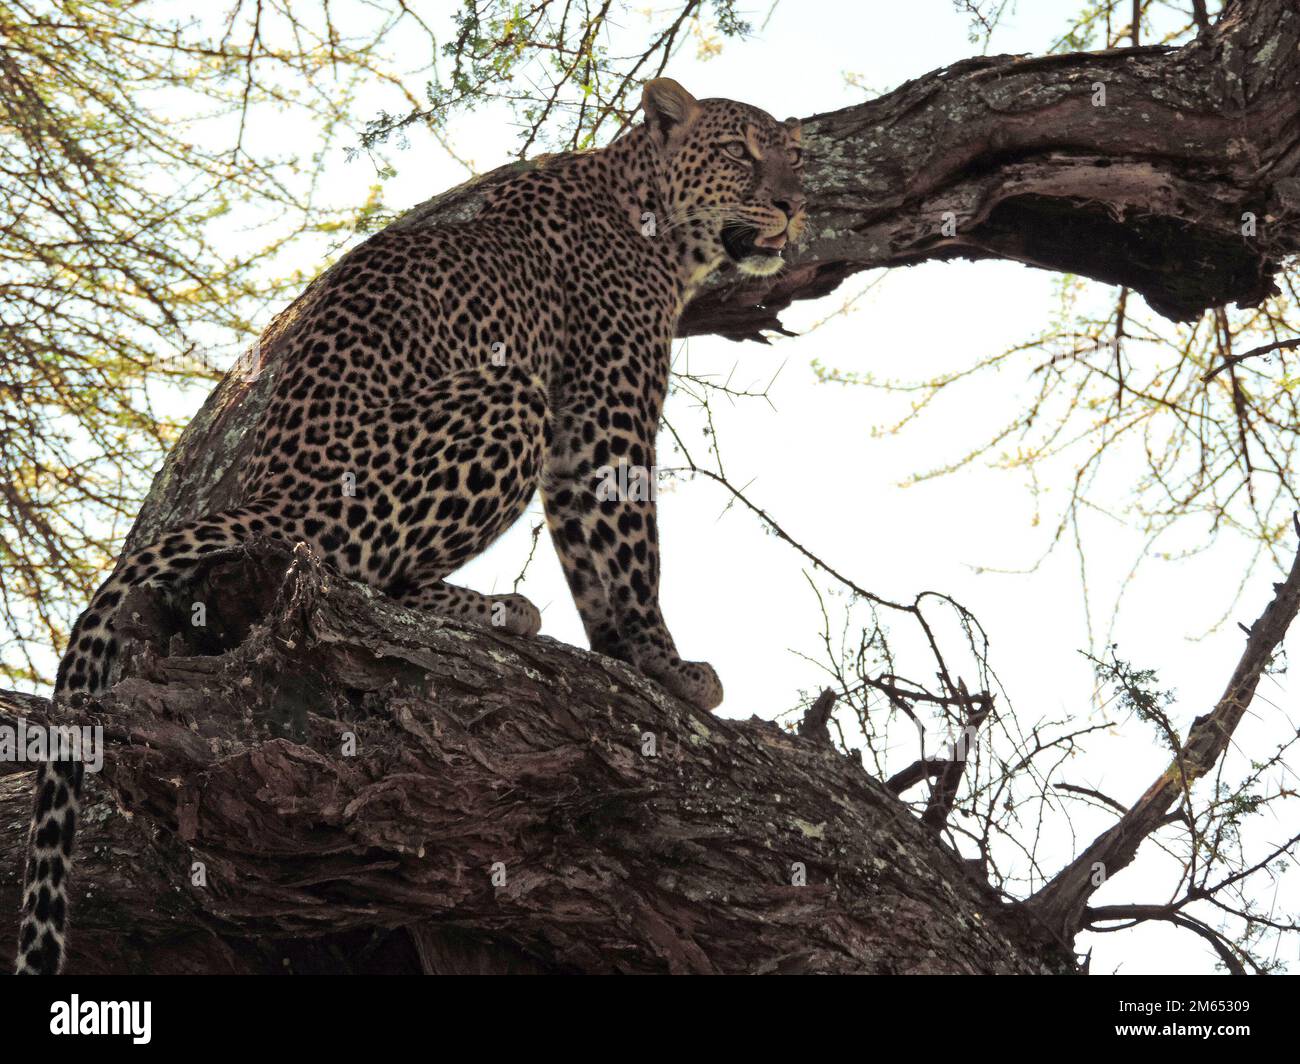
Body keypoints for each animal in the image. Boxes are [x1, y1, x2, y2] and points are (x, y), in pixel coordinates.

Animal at [13, 77, 806, 974]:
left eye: (796, 154)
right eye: (740, 152)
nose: (793, 203)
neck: (657, 223)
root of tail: (264, 495)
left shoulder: (583, 434)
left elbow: (593, 557)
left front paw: (624, 659)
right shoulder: (604, 415)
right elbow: (629, 548)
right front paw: (668, 667)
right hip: (501, 401)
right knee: (354, 574)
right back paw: (493, 609)